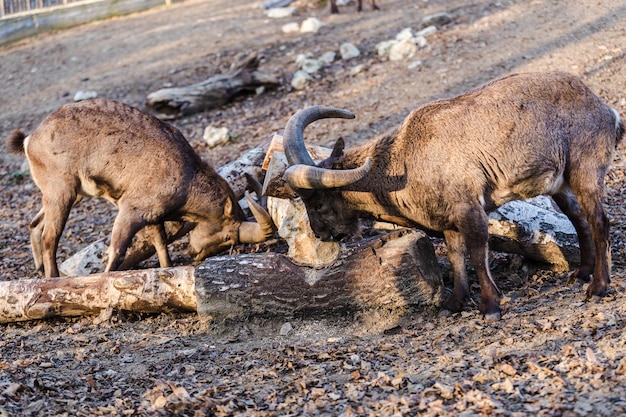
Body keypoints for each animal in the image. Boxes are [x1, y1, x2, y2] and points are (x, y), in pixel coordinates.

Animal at [6, 99, 276, 278]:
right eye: (229, 236)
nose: (196, 253)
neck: (187, 176)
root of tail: (30, 140)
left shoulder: (152, 216)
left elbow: (161, 244)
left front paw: (167, 269)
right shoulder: (131, 210)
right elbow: (117, 250)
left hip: (70, 194)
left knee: (35, 223)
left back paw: (39, 268)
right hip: (62, 190)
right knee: (50, 236)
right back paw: (52, 278)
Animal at [282, 71, 620, 318]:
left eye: (318, 202)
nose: (322, 234)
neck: (406, 158)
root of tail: (606, 110)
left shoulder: (469, 208)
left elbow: (477, 253)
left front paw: (491, 306)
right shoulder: (448, 222)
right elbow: (456, 257)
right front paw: (454, 304)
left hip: (586, 170)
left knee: (600, 221)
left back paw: (599, 287)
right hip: (560, 185)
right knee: (579, 219)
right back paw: (582, 273)